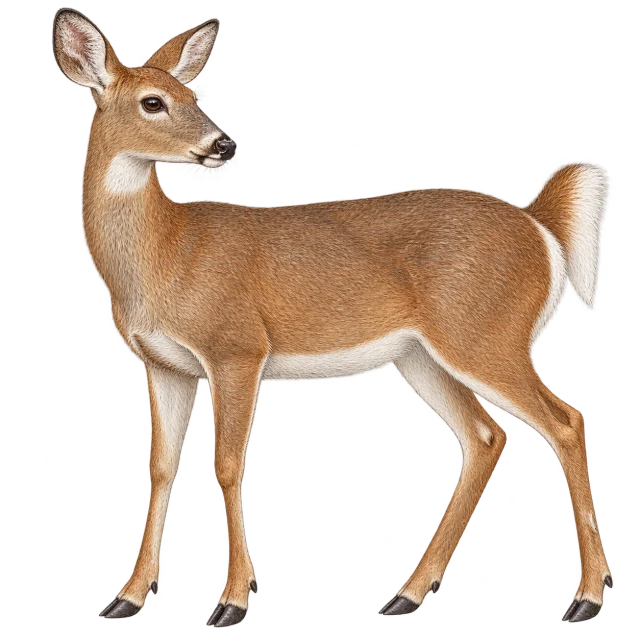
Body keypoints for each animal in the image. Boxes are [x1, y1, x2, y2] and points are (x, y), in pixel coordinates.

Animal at [53, 8, 614, 628]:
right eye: (153, 101)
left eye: (193, 95)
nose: (224, 144)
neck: (165, 255)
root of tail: (539, 226)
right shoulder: (165, 367)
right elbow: (158, 471)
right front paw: (125, 599)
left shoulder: (237, 347)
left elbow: (226, 464)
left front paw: (232, 602)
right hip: (422, 355)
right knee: (486, 436)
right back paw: (405, 595)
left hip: (485, 333)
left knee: (566, 422)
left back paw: (586, 598)